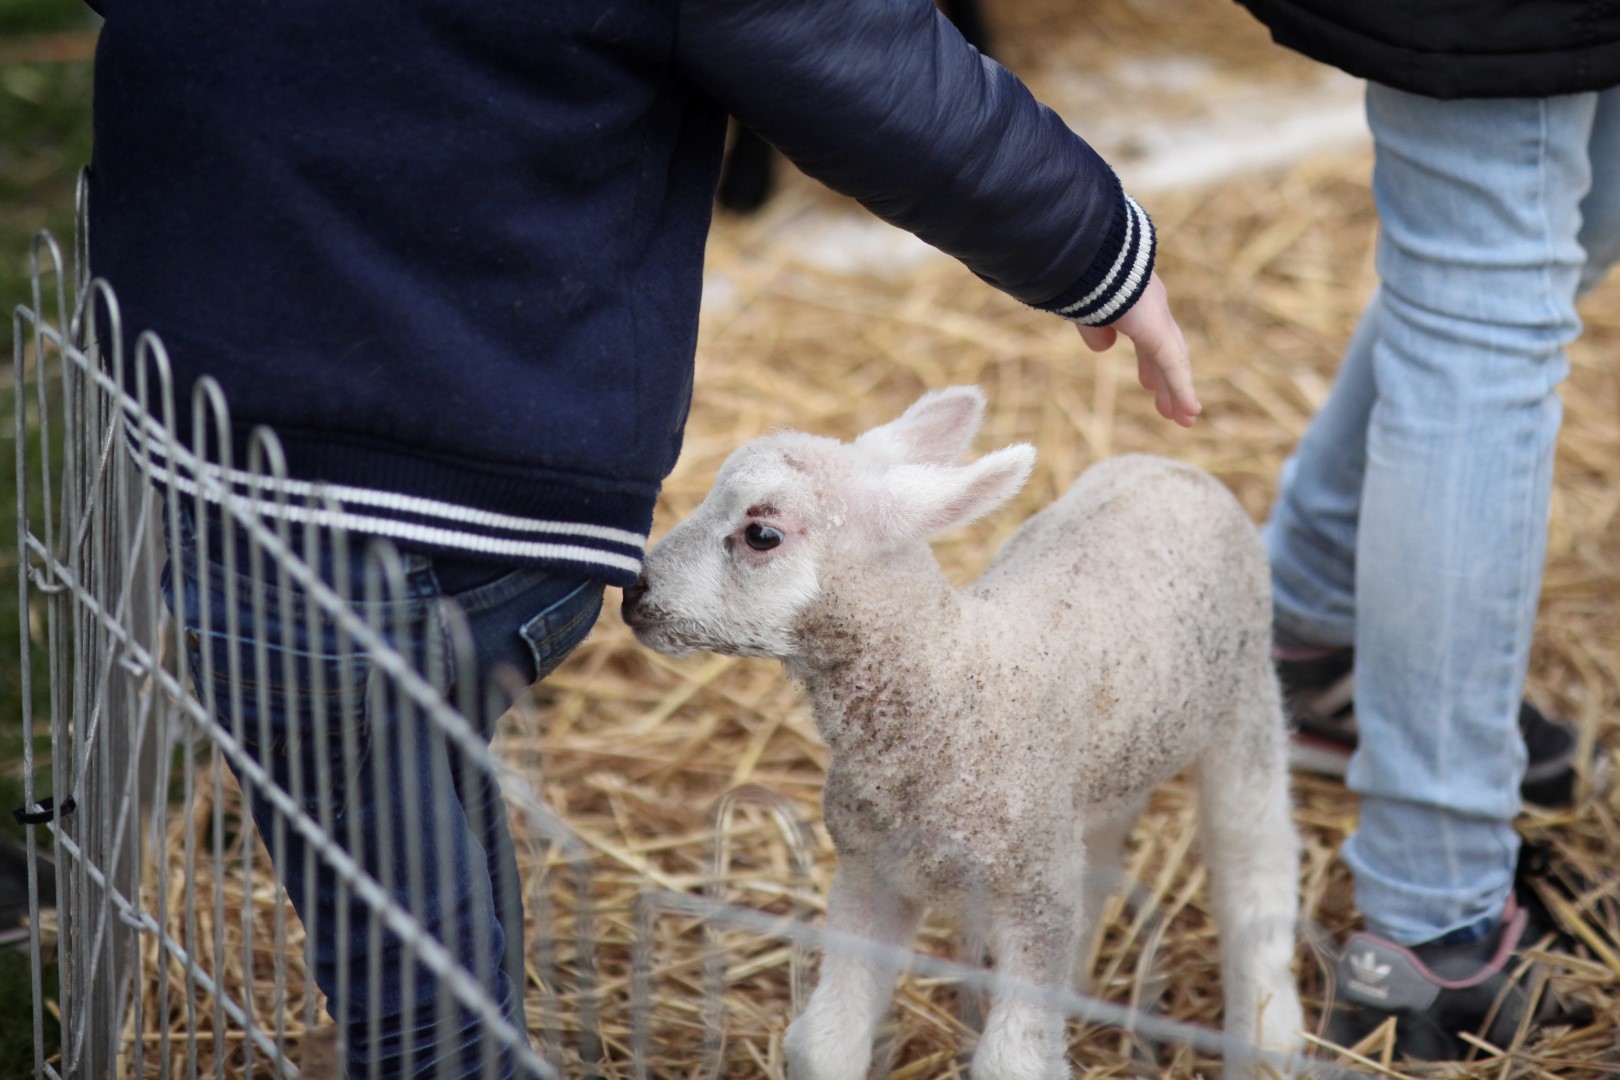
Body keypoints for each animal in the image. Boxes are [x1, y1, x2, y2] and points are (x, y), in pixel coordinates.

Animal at [615, 388, 1302, 1080]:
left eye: (761, 534)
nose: (634, 591)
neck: (954, 689)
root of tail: (1175, 467)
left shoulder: (1034, 898)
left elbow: (1010, 1064)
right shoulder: (870, 871)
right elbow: (826, 1042)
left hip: (1246, 703)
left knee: (1253, 862)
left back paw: (1270, 1036)